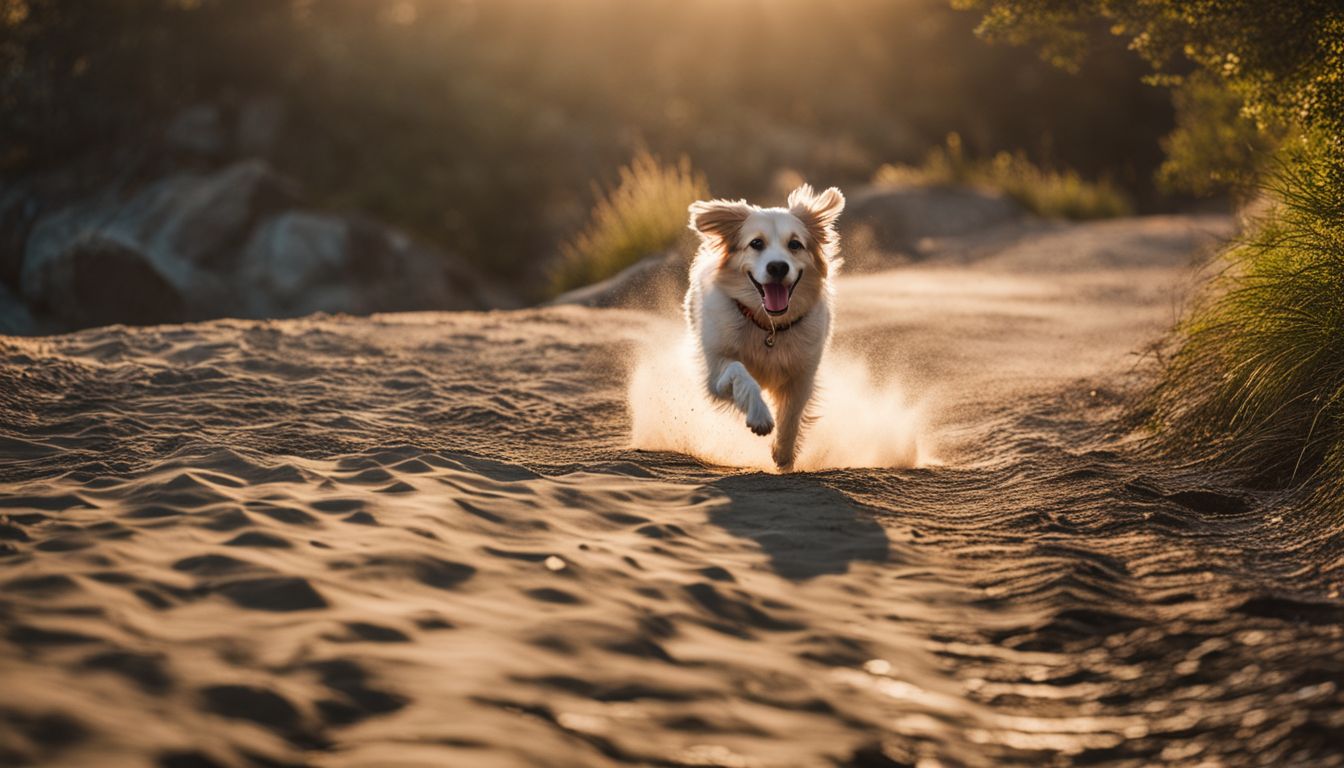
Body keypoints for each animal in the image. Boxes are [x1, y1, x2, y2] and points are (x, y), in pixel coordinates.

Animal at [688, 184, 844, 468]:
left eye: (795, 244)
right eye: (756, 243)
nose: (778, 267)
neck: (768, 327)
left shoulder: (803, 373)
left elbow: (791, 415)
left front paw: (783, 454)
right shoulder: (714, 376)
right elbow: (740, 373)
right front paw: (760, 415)